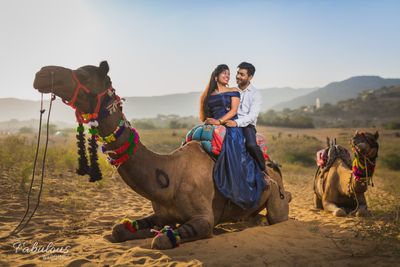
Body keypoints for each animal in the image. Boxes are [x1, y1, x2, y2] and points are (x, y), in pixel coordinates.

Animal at [32, 61, 290, 250]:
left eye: (83, 74)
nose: (41, 74)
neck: (172, 175)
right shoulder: (161, 213)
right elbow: (119, 230)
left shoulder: (205, 219)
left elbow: (163, 239)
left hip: (278, 202)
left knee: (279, 212)